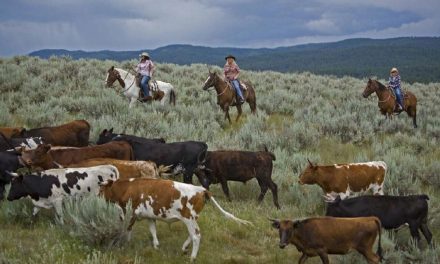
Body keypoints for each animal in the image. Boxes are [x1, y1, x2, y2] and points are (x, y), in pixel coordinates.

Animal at [99, 177, 251, 262]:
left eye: (101, 190)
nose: (97, 197)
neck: (128, 187)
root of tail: (202, 189)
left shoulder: (130, 214)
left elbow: (128, 229)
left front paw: (125, 243)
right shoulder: (150, 216)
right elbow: (153, 231)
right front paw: (156, 246)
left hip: (189, 218)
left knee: (196, 235)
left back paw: (192, 257)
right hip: (193, 218)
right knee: (193, 234)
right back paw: (184, 248)